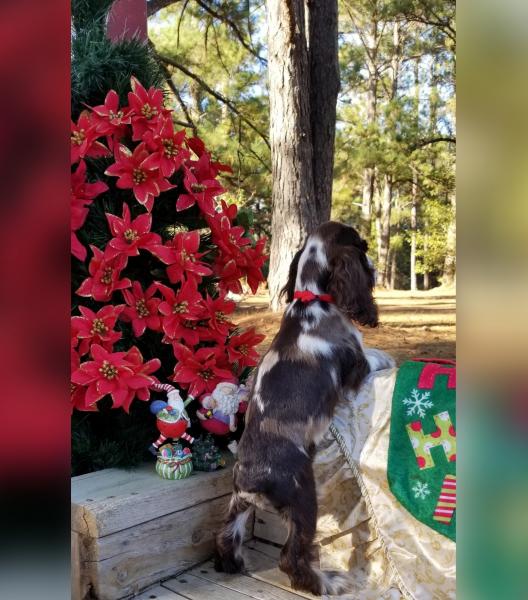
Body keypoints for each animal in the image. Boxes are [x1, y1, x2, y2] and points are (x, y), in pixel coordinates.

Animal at [213, 220, 392, 596]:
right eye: (363, 246)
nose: (375, 267)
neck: (312, 299)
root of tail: (251, 480)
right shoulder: (356, 365)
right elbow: (374, 355)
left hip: (238, 502)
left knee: (226, 535)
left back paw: (233, 563)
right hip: (304, 498)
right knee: (292, 557)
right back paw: (326, 582)